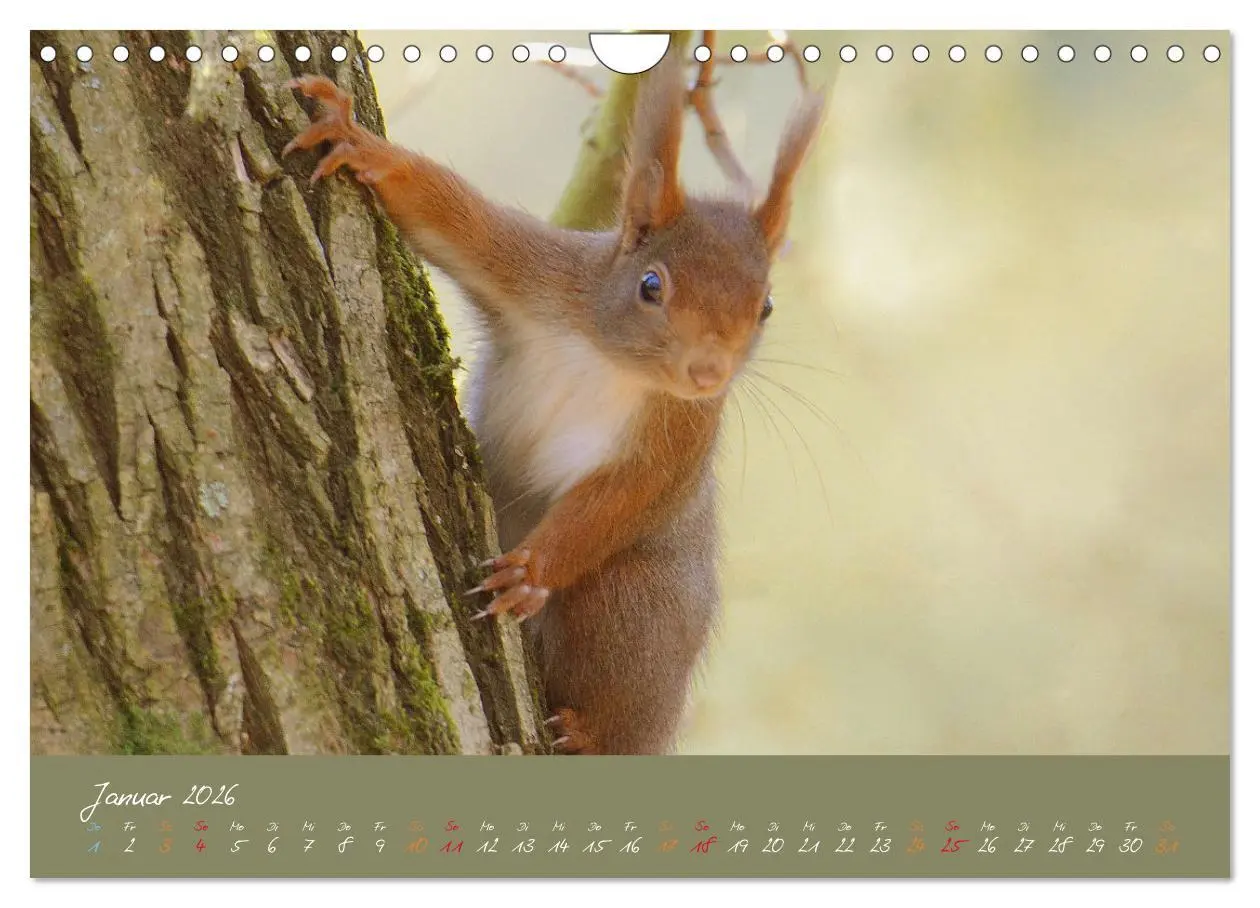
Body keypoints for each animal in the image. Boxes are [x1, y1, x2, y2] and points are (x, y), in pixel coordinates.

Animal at [283, 48, 823, 754]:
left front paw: (530, 571)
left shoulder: (682, 432)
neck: (610, 360)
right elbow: (454, 221)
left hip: (634, 606)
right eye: (651, 285)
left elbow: (625, 495)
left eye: (766, 307)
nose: (709, 371)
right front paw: (358, 141)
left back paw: (588, 732)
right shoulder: (541, 274)